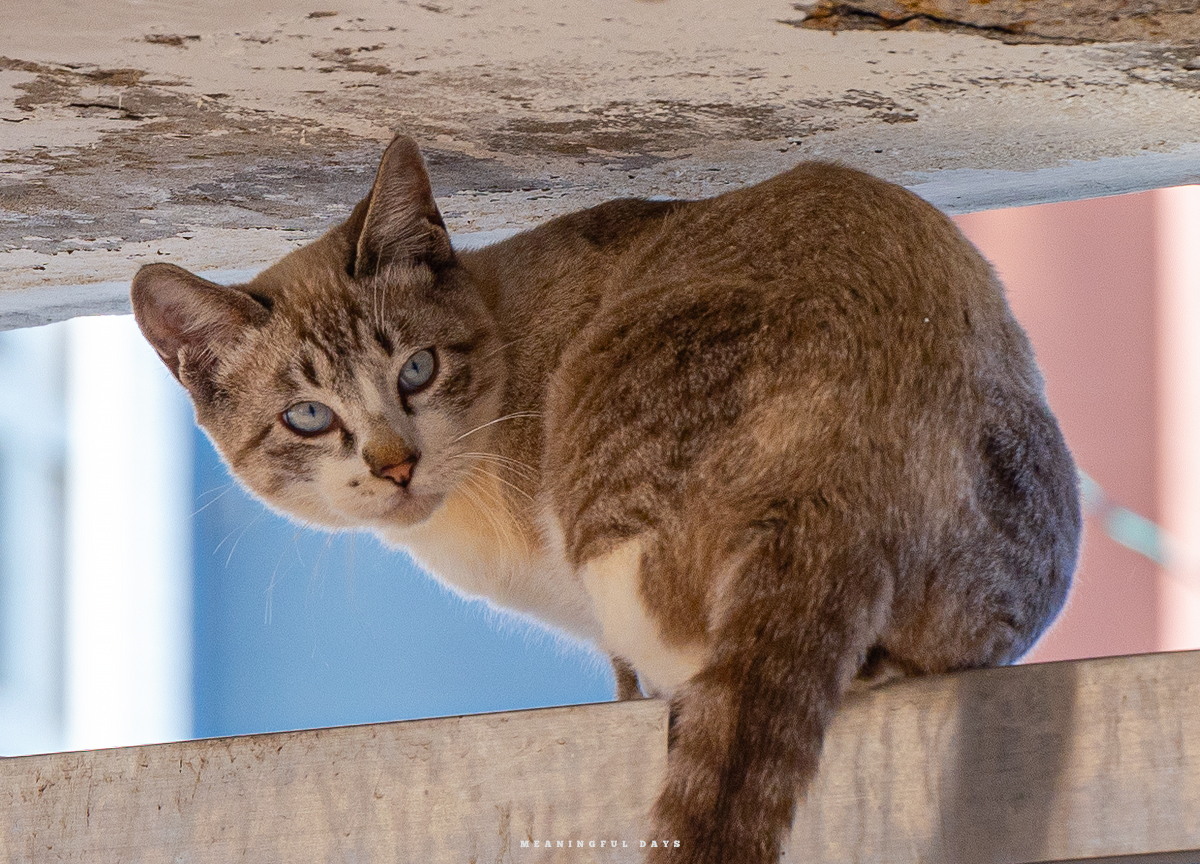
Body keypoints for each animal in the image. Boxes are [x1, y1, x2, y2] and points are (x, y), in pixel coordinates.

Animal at [131, 135, 1080, 864]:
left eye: (417, 369)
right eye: (308, 416)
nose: (396, 466)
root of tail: (839, 469)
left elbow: (631, 687)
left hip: (618, 532)